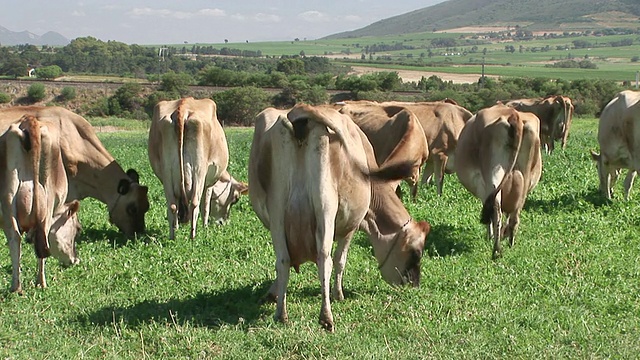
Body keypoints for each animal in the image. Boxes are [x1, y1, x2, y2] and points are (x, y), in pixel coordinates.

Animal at [0, 114, 82, 292]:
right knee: (39, 237)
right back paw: (40, 283)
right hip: (46, 200)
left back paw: (17, 287)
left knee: (16, 237)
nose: (75, 260)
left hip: (9, 197)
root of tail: (28, 120)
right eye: (78, 229)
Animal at [149, 97, 249, 240]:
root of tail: (183, 107)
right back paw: (193, 237)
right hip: (199, 170)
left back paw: (173, 236)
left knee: (173, 205)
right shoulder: (209, 183)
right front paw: (205, 227)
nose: (222, 223)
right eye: (235, 199)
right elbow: (205, 206)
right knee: (195, 203)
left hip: (167, 173)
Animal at [250, 104, 430, 332]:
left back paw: (281, 314)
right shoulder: (352, 226)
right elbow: (340, 260)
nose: (414, 284)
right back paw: (326, 317)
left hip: (278, 209)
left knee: (283, 259)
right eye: (416, 253)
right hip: (326, 206)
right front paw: (338, 294)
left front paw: (273, 293)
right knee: (324, 257)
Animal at [456, 103, 540, 258]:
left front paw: (490, 235)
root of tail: (514, 115)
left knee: (497, 212)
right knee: (515, 215)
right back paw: (510, 243)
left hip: (493, 175)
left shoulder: (483, 187)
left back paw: (496, 249)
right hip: (524, 179)